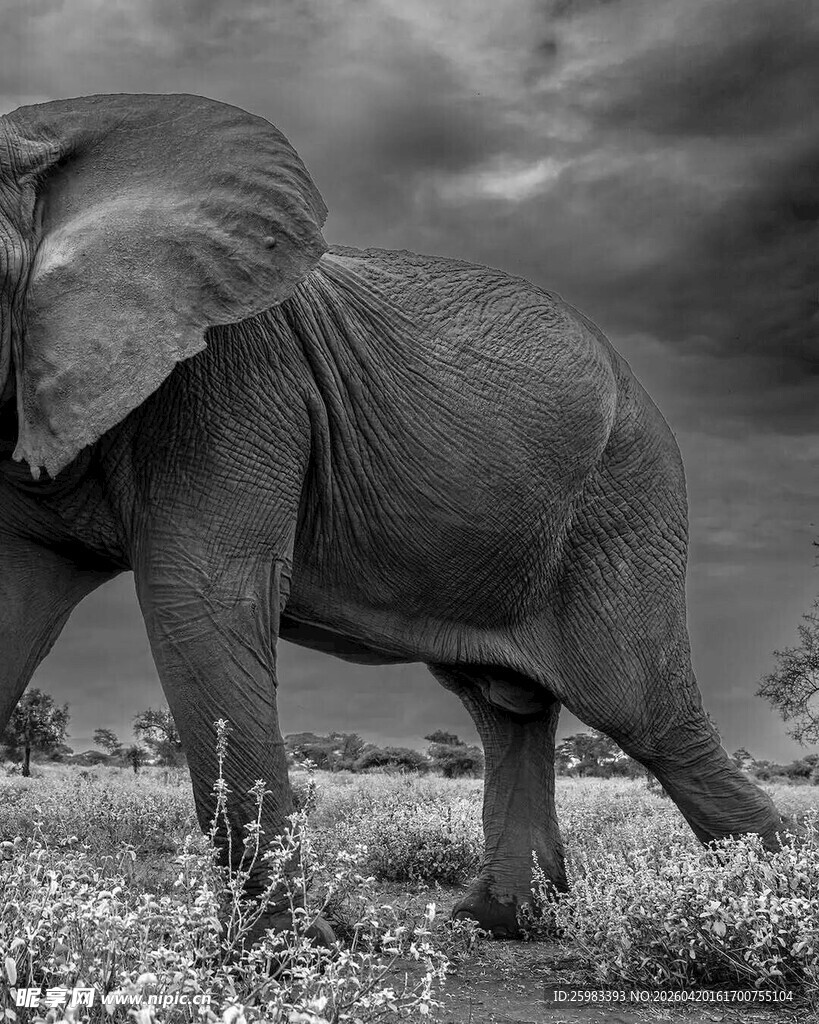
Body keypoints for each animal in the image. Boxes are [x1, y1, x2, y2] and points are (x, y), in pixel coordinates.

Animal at [0, 93, 787, 940]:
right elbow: (17, 602)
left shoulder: (235, 382)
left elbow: (200, 596)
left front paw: (291, 952)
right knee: (505, 706)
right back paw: (497, 923)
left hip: (627, 499)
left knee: (642, 712)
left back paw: (771, 913)